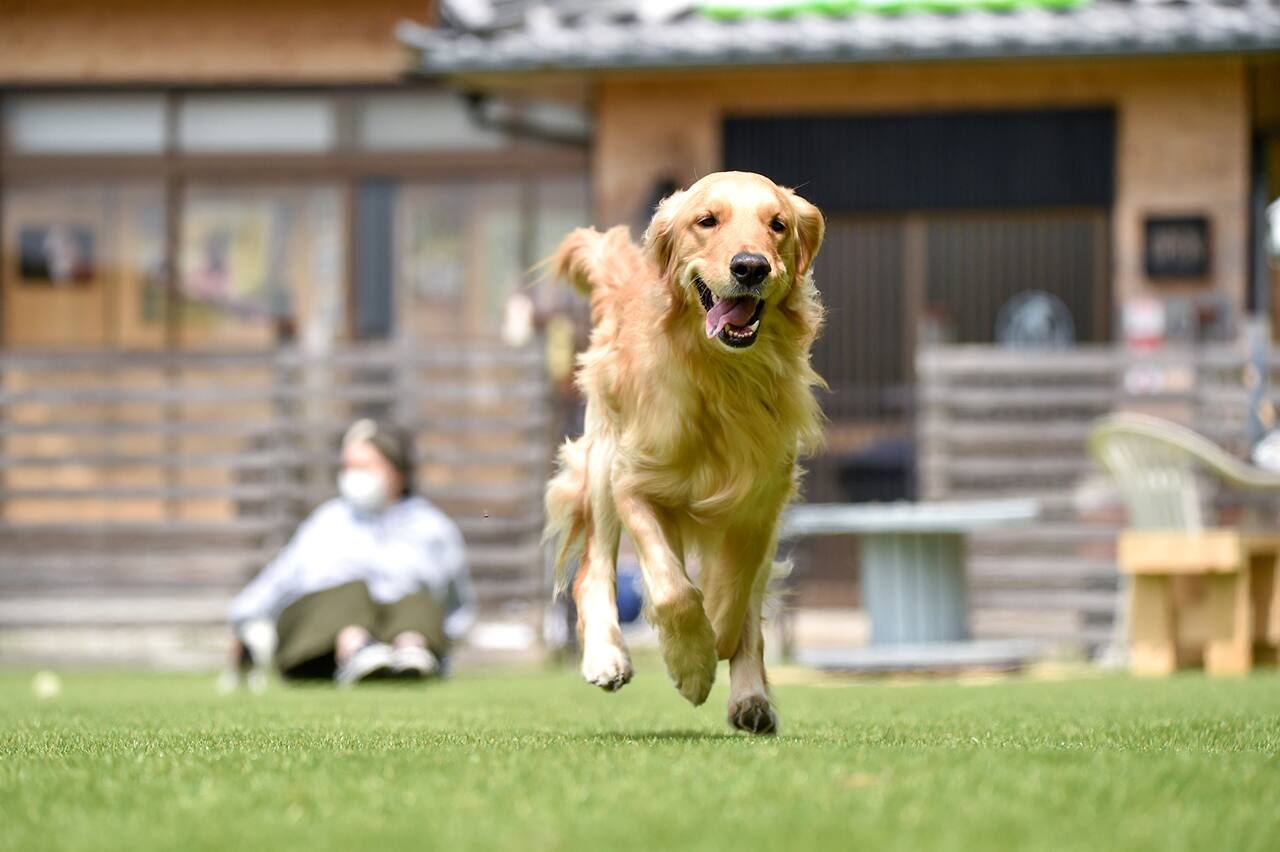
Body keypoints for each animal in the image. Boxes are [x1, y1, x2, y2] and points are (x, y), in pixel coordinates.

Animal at [542, 171, 824, 731]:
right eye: (706, 221)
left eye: (778, 224)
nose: (751, 266)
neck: (720, 378)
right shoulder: (635, 484)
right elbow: (674, 591)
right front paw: (690, 663)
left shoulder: (759, 503)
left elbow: (735, 602)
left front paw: (717, 648)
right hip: (603, 460)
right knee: (593, 571)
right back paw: (607, 655)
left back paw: (750, 700)